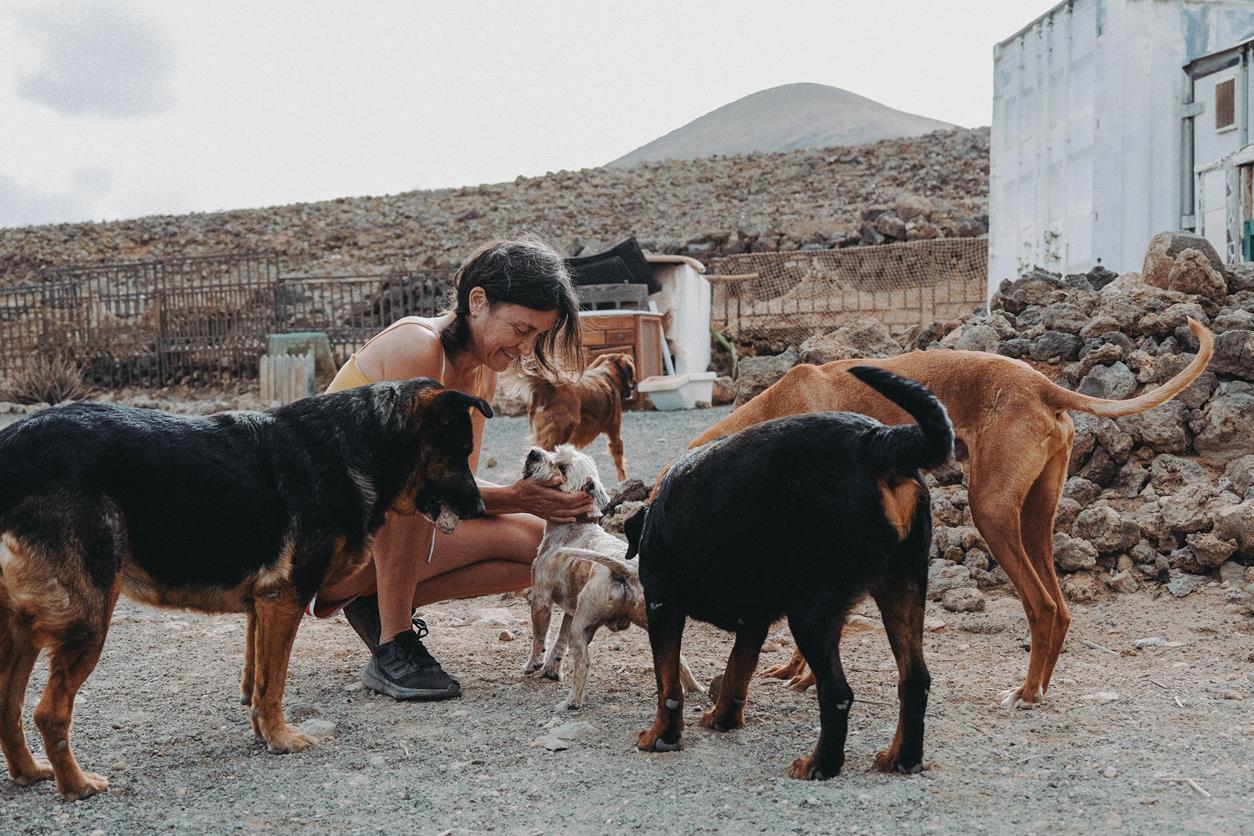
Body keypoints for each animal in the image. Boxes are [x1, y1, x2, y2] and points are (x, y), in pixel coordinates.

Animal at [0, 383, 489, 802]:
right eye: (460, 453)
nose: (482, 508)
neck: (360, 443)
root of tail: (11, 448)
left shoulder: (262, 608)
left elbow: (256, 679)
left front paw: (262, 732)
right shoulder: (285, 601)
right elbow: (273, 684)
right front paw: (281, 738)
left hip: (24, 629)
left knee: (9, 704)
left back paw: (31, 772)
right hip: (88, 618)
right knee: (48, 712)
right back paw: (75, 785)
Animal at [516, 448, 702, 711]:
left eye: (562, 468)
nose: (534, 452)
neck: (575, 524)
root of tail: (626, 571)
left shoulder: (541, 599)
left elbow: (539, 637)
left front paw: (533, 664)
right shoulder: (571, 612)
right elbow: (559, 642)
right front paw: (552, 669)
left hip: (581, 628)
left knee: (583, 664)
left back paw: (571, 702)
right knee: (678, 659)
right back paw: (696, 689)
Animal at [526, 353, 637, 483]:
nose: (635, 384)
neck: (606, 373)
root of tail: (548, 390)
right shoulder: (614, 432)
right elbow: (619, 459)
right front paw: (623, 481)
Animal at [632, 368, 953, 782]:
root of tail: (877, 442)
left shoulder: (662, 604)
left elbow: (668, 683)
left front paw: (662, 736)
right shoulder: (753, 621)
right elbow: (736, 671)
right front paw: (724, 717)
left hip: (812, 612)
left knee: (838, 694)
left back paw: (820, 764)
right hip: (904, 589)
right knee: (915, 681)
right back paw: (903, 757)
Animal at [682, 323, 1208, 711]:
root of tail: (1041, 385)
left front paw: (805, 676)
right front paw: (796, 670)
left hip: (991, 510)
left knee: (1040, 606)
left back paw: (1024, 692)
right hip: (1035, 518)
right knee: (1059, 609)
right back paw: (1038, 688)